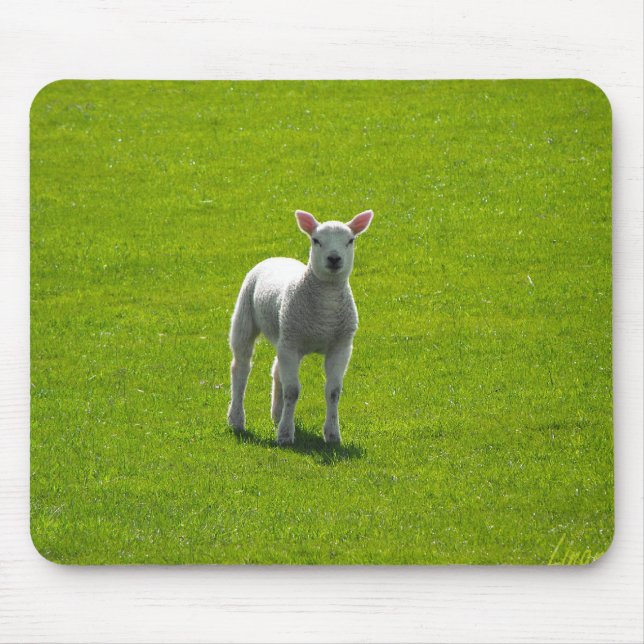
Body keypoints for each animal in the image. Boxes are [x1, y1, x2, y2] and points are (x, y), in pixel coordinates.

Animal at [227, 209, 374, 445]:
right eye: (316, 240)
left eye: (350, 240)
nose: (334, 259)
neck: (326, 307)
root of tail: (277, 257)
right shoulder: (291, 346)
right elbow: (292, 391)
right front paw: (286, 435)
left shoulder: (340, 346)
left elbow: (333, 391)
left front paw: (333, 434)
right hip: (246, 317)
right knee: (240, 368)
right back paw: (237, 419)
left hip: (285, 334)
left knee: (276, 368)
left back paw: (277, 414)